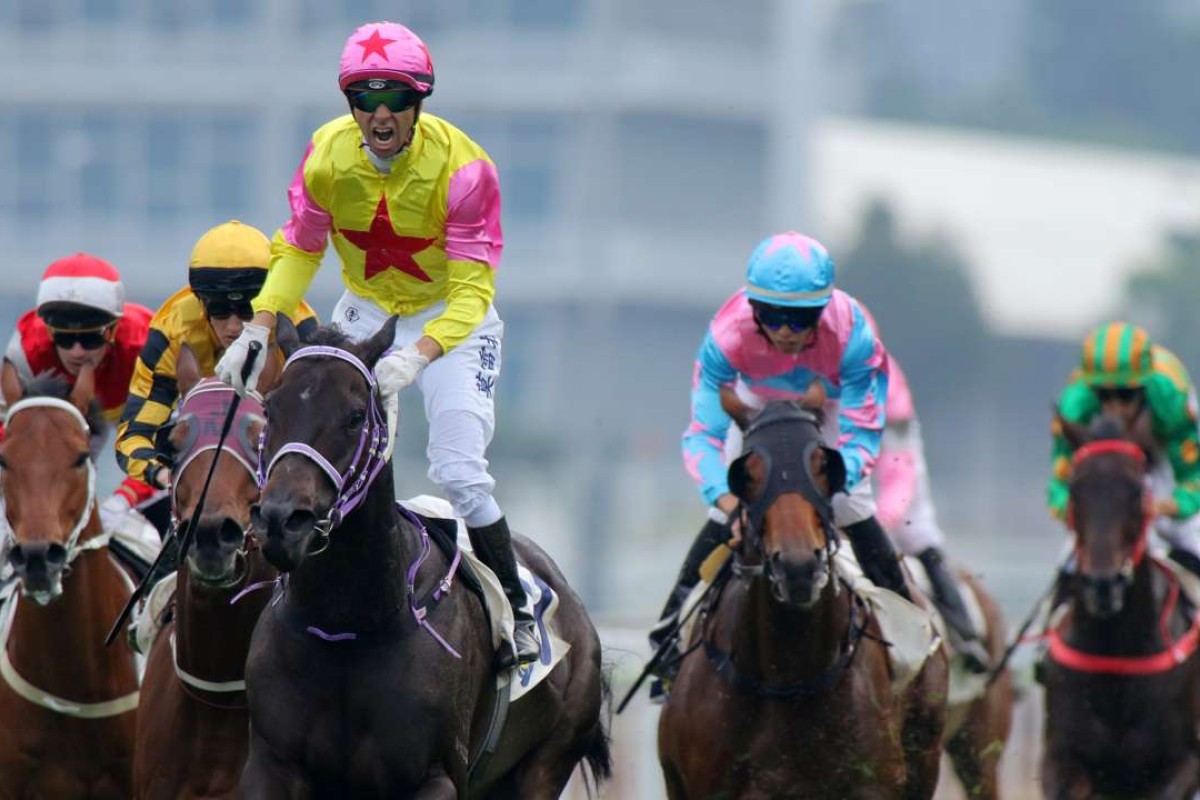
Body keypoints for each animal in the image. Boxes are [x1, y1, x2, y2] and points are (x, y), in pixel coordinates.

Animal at [237, 321, 609, 796]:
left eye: (355, 416)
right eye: (270, 408)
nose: (282, 521)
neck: (349, 626)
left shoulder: (435, 776)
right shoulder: (272, 764)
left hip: (548, 759)